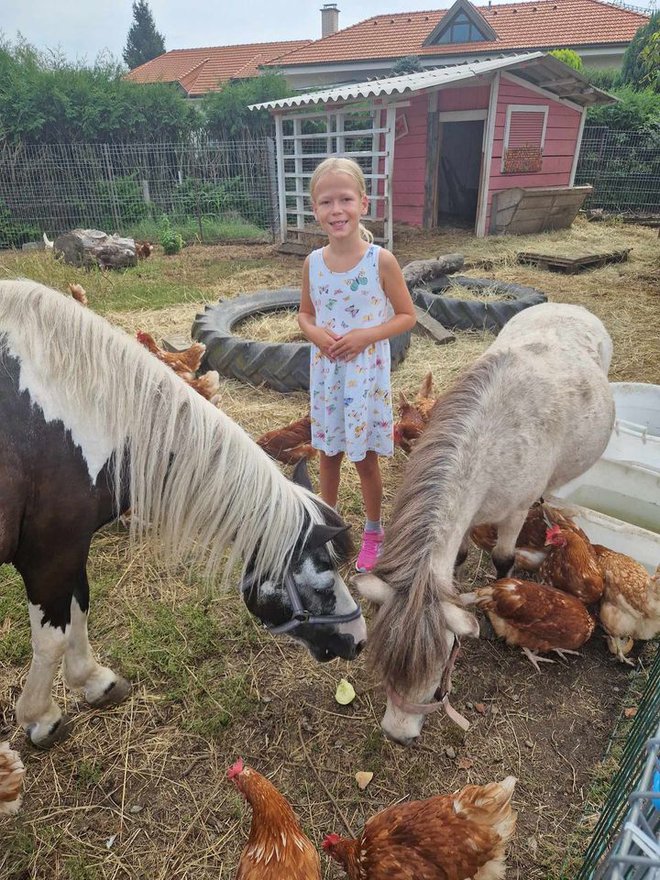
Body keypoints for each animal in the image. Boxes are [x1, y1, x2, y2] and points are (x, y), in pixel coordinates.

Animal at [0, 282, 366, 748]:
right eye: (321, 583)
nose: (359, 640)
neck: (82, 415)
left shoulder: (71, 547)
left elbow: (80, 608)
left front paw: (94, 681)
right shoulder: (47, 554)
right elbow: (51, 639)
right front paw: (40, 717)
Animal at [358, 300, 616, 744]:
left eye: (442, 660)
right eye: (386, 660)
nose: (397, 734)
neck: (489, 444)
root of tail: (569, 307)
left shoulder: (512, 514)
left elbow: (502, 560)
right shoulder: (465, 517)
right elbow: (458, 559)